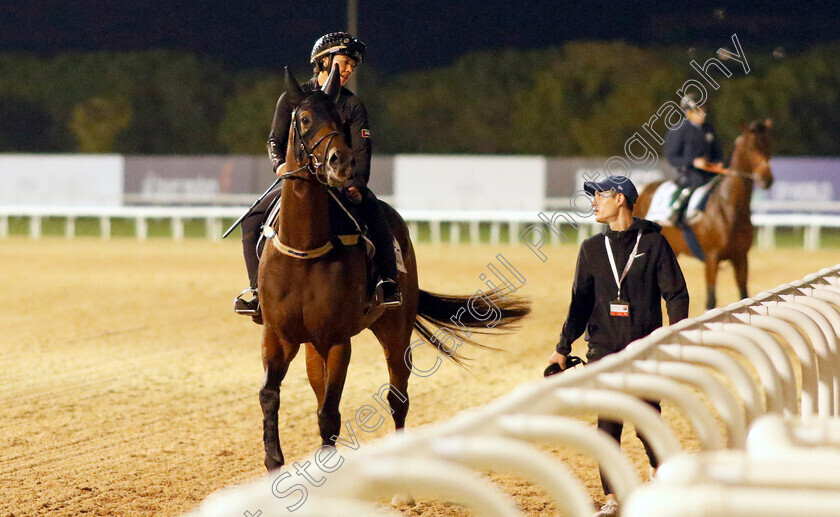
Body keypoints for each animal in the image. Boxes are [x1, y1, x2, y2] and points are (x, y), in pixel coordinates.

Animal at [258, 66, 532, 470]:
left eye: (340, 119)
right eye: (304, 119)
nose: (340, 162)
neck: (305, 250)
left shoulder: (337, 339)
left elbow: (330, 412)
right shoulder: (280, 335)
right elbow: (271, 395)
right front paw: (274, 459)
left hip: (395, 329)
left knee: (397, 397)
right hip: (313, 343)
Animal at [636, 119, 776, 308]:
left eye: (769, 146)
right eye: (750, 147)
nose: (767, 179)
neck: (728, 208)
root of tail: (643, 189)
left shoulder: (741, 259)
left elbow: (744, 295)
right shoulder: (711, 259)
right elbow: (711, 301)